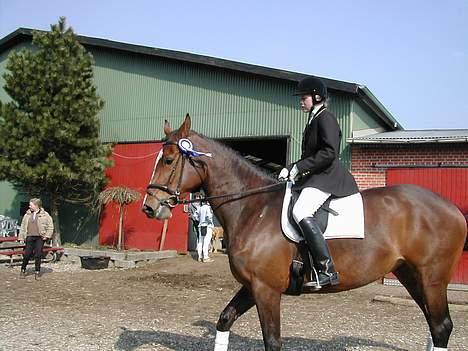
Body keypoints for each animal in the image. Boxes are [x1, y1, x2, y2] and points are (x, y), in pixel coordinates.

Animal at [144, 114, 468, 350]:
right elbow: (224, 320)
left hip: (432, 277)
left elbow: (272, 341)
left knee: (440, 326)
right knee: (433, 324)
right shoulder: (252, 285)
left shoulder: (266, 290)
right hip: (410, 274)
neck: (253, 208)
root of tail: (450, 207)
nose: (149, 208)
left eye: (169, 160)